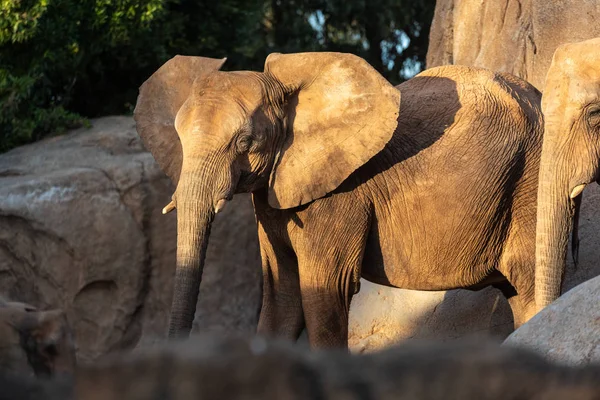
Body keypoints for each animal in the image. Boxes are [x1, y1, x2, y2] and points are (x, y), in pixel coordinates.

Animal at [134, 52, 548, 346]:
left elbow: (324, 291)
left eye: (244, 142)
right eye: (178, 137)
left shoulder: (340, 195)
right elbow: (282, 296)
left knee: (529, 284)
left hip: (531, 180)